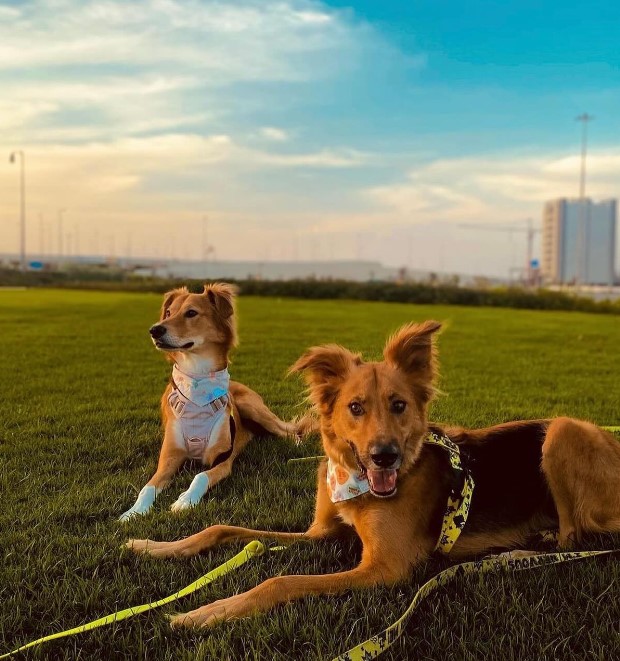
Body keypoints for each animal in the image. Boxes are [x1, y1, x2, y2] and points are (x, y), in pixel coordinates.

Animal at [120, 284, 302, 520]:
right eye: (168, 313)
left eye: (191, 313)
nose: (155, 330)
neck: (197, 383)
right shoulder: (168, 459)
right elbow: (148, 486)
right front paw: (134, 511)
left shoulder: (222, 461)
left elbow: (200, 477)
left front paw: (185, 500)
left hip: (254, 408)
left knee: (290, 430)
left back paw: (296, 444)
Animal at [126, 322, 620, 628]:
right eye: (355, 408)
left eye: (399, 405)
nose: (385, 457)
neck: (358, 484)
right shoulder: (324, 532)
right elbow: (223, 527)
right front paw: (153, 545)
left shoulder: (385, 567)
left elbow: (279, 580)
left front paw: (208, 612)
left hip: (562, 430)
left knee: (577, 533)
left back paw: (522, 550)